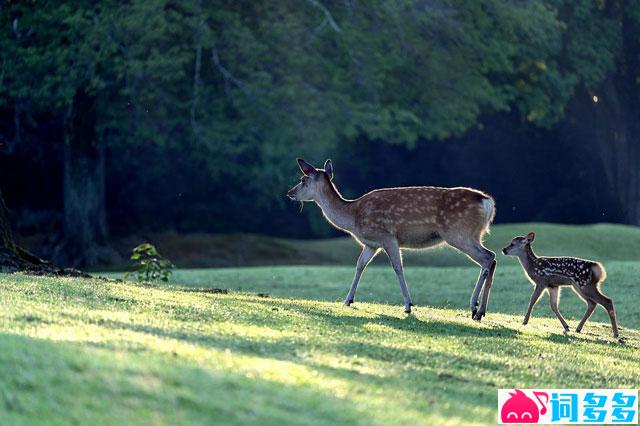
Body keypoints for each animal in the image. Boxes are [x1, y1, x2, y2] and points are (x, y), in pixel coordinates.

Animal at [288, 157, 498, 320]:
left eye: (303, 179)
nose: (290, 193)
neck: (353, 216)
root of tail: (487, 203)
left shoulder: (388, 237)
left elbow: (397, 267)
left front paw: (408, 305)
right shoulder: (371, 244)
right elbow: (360, 265)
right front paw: (347, 300)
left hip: (459, 233)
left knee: (487, 257)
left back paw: (474, 307)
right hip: (473, 234)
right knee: (492, 257)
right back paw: (481, 311)